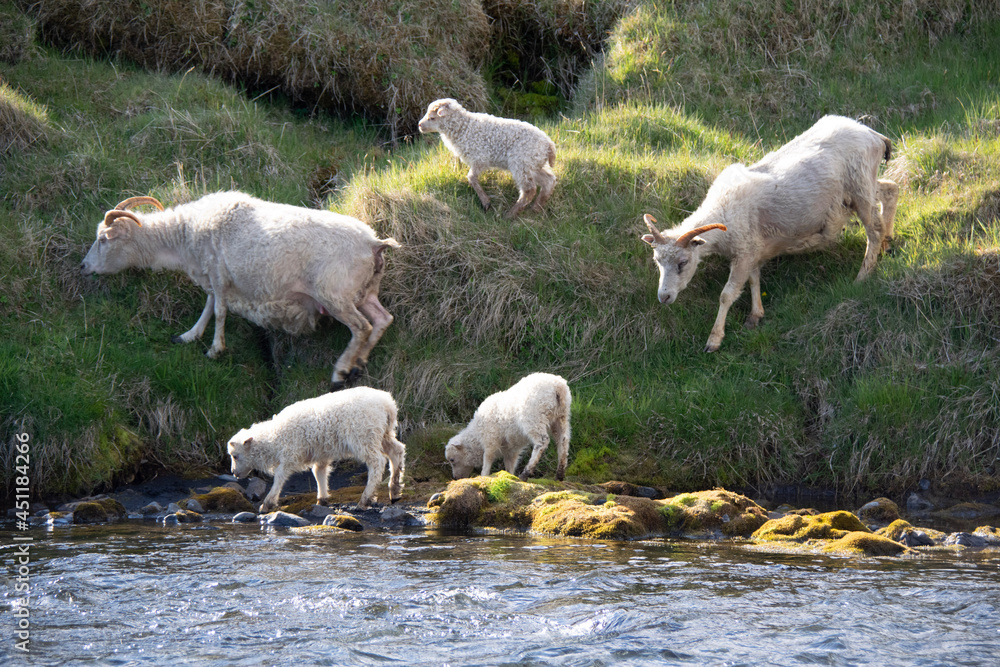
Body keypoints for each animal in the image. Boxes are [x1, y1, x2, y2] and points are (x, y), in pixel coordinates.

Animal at [80, 192, 400, 390]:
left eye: (103, 240)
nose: (83, 266)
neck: (183, 238)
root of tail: (374, 243)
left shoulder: (218, 272)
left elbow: (219, 310)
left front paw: (215, 349)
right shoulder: (213, 275)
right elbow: (209, 305)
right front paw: (189, 335)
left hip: (334, 294)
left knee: (361, 327)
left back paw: (341, 371)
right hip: (365, 291)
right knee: (382, 320)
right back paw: (358, 363)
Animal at [227, 387, 406, 512]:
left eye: (235, 456)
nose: (234, 473)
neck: (275, 438)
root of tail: (387, 404)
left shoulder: (290, 454)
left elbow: (279, 477)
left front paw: (268, 503)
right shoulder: (321, 453)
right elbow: (319, 472)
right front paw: (322, 498)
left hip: (364, 436)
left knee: (377, 463)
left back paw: (366, 499)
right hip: (383, 433)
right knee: (397, 451)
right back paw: (395, 490)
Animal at [417, 98, 557, 219]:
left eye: (432, 118)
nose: (419, 125)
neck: (463, 127)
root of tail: (549, 145)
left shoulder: (480, 158)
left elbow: (471, 177)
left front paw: (486, 202)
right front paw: (486, 201)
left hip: (520, 163)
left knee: (529, 190)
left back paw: (510, 215)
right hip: (533, 164)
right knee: (549, 181)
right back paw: (536, 209)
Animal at [640, 115, 899, 352]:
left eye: (683, 262)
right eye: (657, 261)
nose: (664, 297)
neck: (723, 211)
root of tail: (872, 133)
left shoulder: (744, 252)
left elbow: (727, 295)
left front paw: (714, 339)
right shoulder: (753, 249)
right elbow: (754, 279)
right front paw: (756, 315)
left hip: (860, 188)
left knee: (873, 231)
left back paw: (864, 274)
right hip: (861, 188)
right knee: (890, 190)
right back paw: (887, 241)